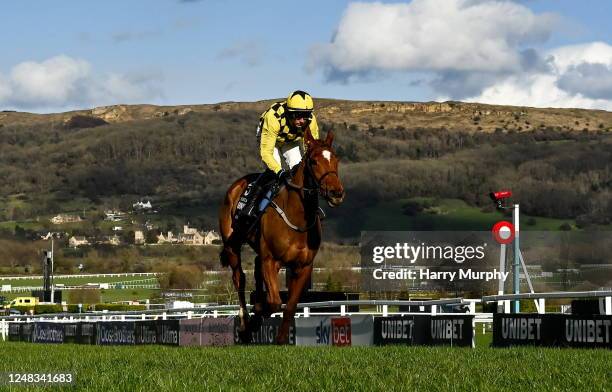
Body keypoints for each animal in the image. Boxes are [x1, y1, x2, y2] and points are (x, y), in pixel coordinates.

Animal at [219, 129, 344, 344]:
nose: (336, 193)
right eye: (314, 162)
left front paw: (282, 338)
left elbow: (289, 306)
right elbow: (275, 302)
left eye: (335, 159)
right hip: (232, 245)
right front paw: (254, 321)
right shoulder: (271, 260)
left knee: (256, 267)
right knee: (239, 278)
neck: (297, 217)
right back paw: (245, 324)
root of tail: (236, 186)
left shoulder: (303, 266)